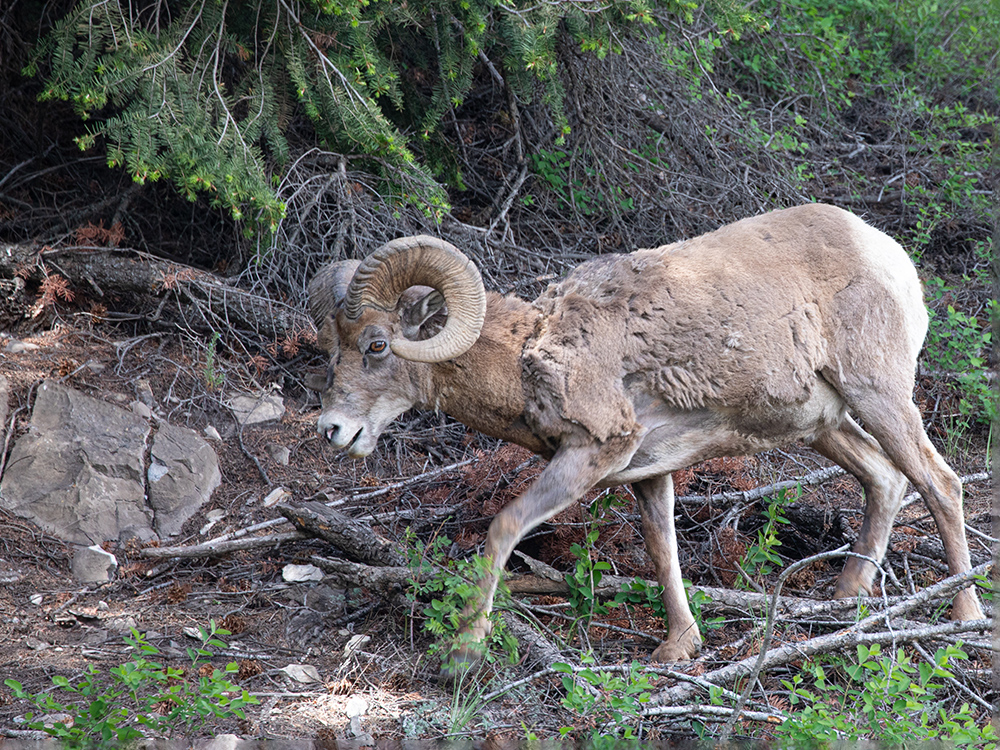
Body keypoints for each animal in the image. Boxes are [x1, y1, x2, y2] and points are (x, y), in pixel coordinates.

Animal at [306, 203, 984, 673]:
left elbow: (503, 527)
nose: (332, 430)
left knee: (940, 484)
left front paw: (464, 653)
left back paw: (965, 618)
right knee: (886, 480)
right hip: (825, 425)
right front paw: (679, 648)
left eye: (377, 345)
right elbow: (663, 549)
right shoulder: (650, 472)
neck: (531, 356)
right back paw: (844, 605)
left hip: (879, 396)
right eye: (333, 348)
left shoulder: (590, 453)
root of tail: (889, 255)